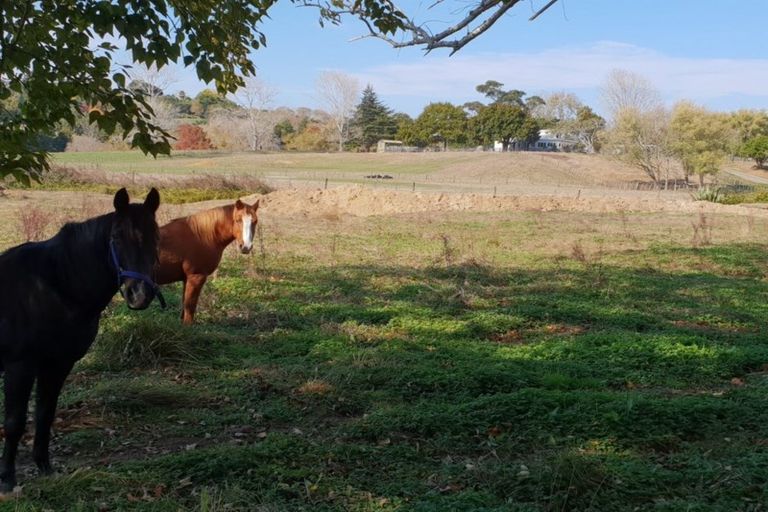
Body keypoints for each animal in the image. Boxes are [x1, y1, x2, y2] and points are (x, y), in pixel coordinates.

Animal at [0, 188, 162, 492]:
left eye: (156, 236)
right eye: (116, 237)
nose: (139, 294)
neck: (53, 287)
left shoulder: (58, 364)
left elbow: (45, 414)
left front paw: (45, 469)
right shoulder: (19, 367)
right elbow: (14, 423)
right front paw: (7, 481)